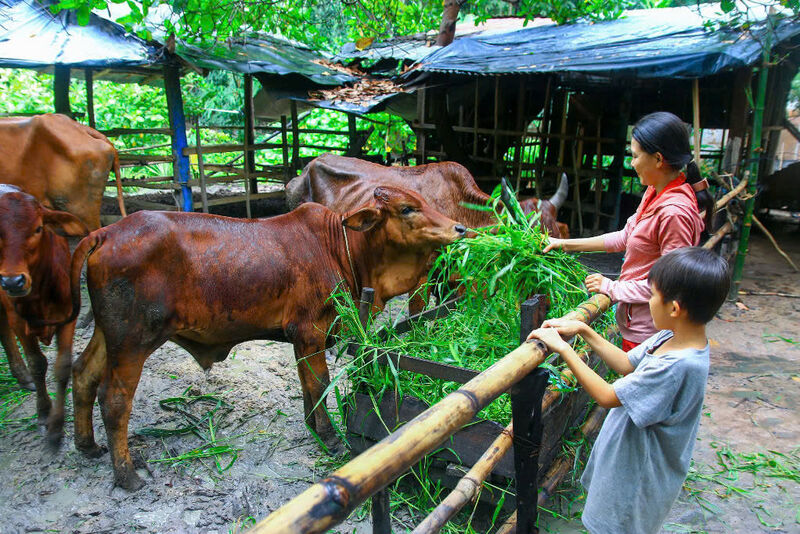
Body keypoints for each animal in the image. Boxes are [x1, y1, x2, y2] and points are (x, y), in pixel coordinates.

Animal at [0, 186, 87, 446]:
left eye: (38, 228)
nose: (12, 282)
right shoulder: (18, 320)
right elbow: (38, 363)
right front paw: (44, 413)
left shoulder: (69, 315)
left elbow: (63, 364)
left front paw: (58, 423)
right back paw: (23, 375)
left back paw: (22, 377)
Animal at [69, 186, 468, 492]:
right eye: (407, 208)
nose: (460, 228)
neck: (341, 248)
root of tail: (105, 233)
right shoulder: (311, 330)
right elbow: (319, 382)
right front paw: (330, 437)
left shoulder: (302, 338)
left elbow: (307, 383)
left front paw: (313, 427)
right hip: (133, 340)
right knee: (114, 400)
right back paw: (126, 475)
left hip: (109, 335)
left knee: (82, 374)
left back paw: (87, 446)